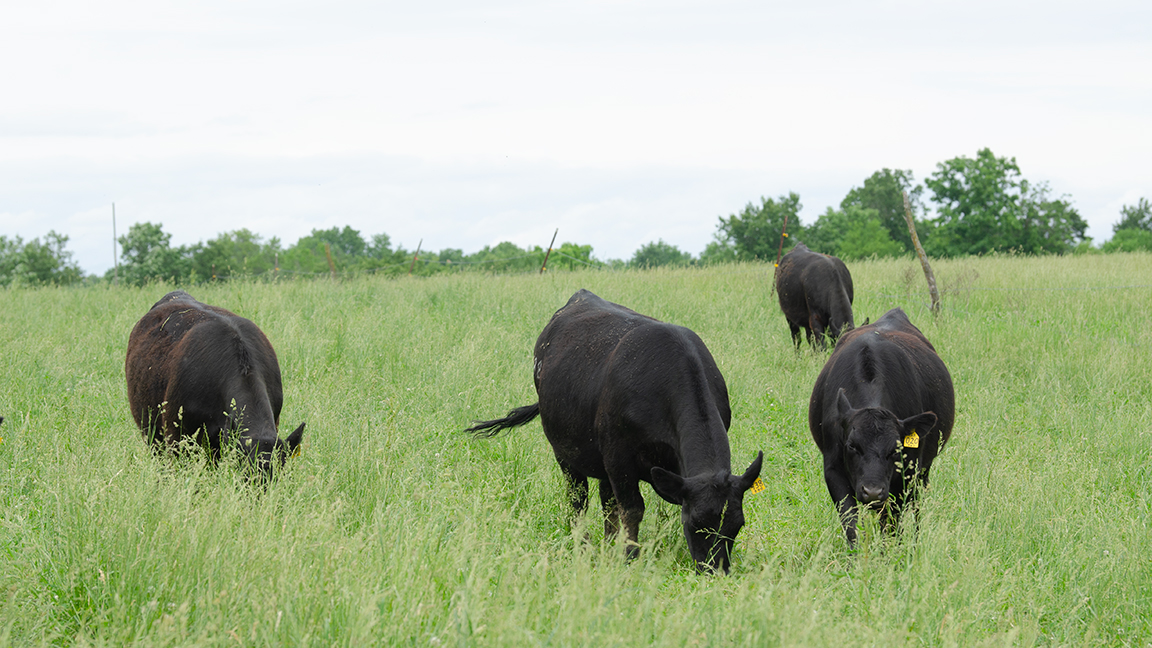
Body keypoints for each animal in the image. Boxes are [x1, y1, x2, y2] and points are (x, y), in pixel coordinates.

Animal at [466, 289, 763, 574]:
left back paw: (609, 545)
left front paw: (622, 551)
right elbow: (632, 509)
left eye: (737, 525)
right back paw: (584, 545)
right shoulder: (619, 457)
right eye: (695, 523)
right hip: (565, 452)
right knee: (579, 500)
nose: (716, 570)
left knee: (606, 502)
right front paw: (630, 556)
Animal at [808, 307, 954, 545]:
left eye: (896, 448)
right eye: (852, 446)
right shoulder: (833, 469)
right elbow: (850, 522)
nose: (873, 491)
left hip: (923, 471)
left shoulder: (906, 474)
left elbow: (892, 524)